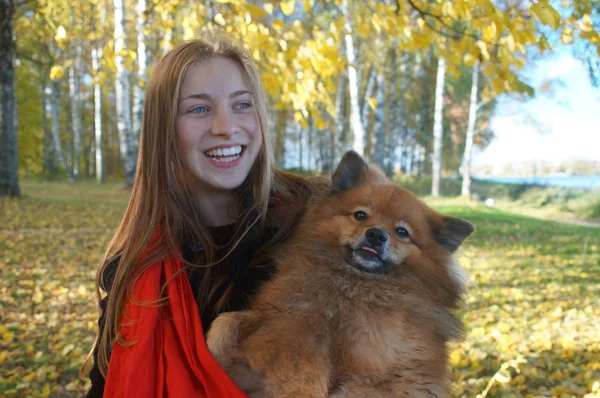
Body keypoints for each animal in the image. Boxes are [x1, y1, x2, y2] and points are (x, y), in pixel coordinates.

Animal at [209, 151, 476, 396]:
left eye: (402, 232)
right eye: (360, 215)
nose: (376, 234)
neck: (349, 282)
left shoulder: (374, 371)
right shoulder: (278, 316)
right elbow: (226, 320)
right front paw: (213, 348)